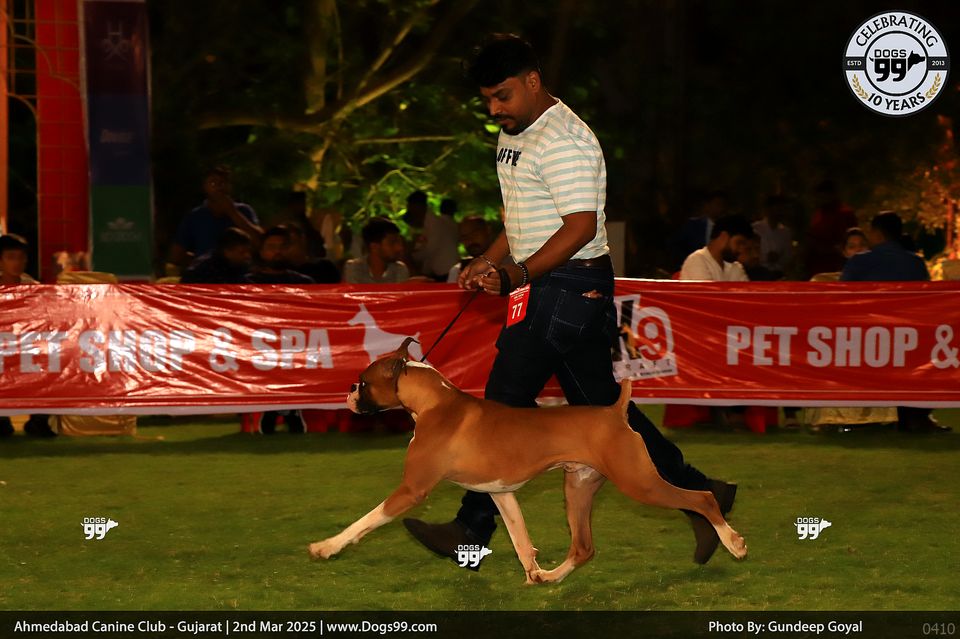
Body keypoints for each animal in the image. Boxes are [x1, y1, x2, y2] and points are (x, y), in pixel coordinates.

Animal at [308, 338, 746, 584]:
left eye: (364, 381)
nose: (349, 392)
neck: (435, 402)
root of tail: (614, 410)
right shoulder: (500, 494)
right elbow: (520, 538)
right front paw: (533, 571)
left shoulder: (411, 490)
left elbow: (365, 521)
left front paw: (327, 546)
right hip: (578, 489)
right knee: (583, 548)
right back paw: (552, 577)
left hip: (639, 482)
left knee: (701, 499)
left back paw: (733, 542)